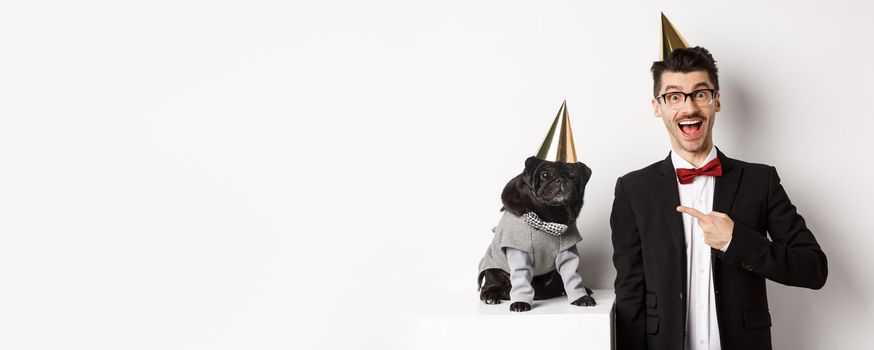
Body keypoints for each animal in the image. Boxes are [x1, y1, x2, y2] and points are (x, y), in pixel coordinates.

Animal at [476, 156, 592, 312]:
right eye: (545, 175)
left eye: (573, 176)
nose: (561, 179)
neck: (551, 216)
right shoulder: (519, 251)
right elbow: (521, 278)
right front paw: (520, 302)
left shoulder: (567, 251)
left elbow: (572, 275)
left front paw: (581, 297)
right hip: (494, 269)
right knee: (490, 284)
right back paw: (491, 295)